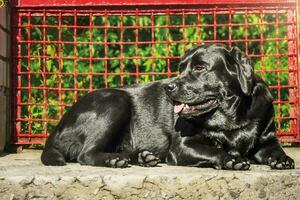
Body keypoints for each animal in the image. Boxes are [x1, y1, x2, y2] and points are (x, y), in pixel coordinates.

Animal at [41, 43, 294, 170]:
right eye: (181, 67)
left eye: (200, 68)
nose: (169, 87)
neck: (230, 119)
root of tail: (56, 129)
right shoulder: (183, 146)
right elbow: (214, 150)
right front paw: (230, 159)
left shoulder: (267, 139)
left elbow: (274, 149)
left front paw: (281, 159)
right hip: (115, 102)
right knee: (86, 154)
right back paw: (116, 161)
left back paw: (143, 157)